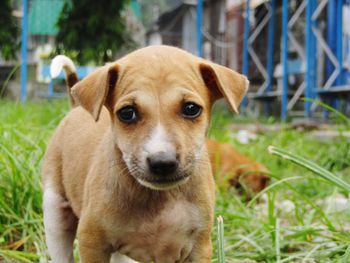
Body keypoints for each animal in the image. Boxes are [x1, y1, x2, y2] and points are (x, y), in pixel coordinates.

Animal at [41, 46, 249, 262]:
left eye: (191, 108)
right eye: (127, 113)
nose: (162, 162)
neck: (159, 197)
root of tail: (76, 108)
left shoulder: (199, 248)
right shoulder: (92, 241)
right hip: (55, 212)